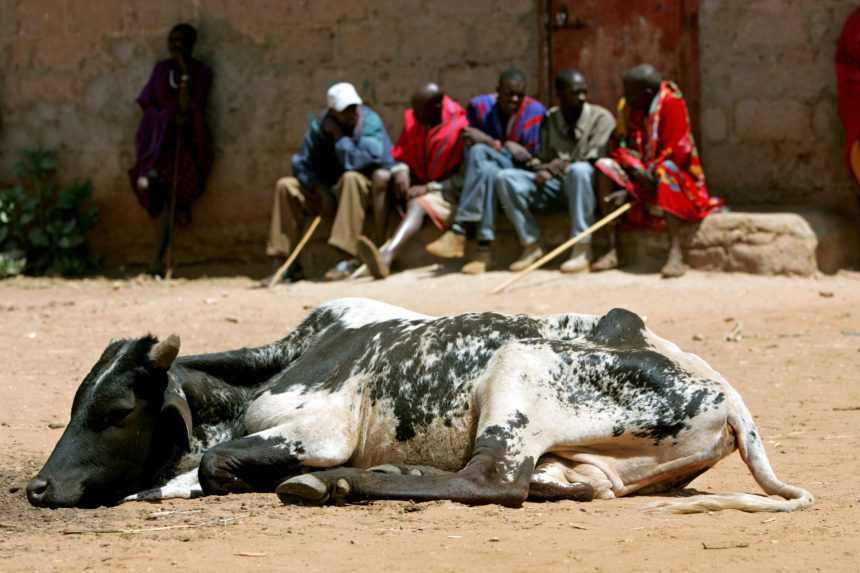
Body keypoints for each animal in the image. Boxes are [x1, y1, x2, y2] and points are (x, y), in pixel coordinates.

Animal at [26, 298, 812, 512]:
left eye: (117, 410)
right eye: (75, 402)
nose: (37, 487)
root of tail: (730, 399)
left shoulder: (320, 430)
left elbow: (218, 462)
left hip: (517, 374)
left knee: (492, 482)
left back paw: (337, 485)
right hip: (584, 461)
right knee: (546, 484)